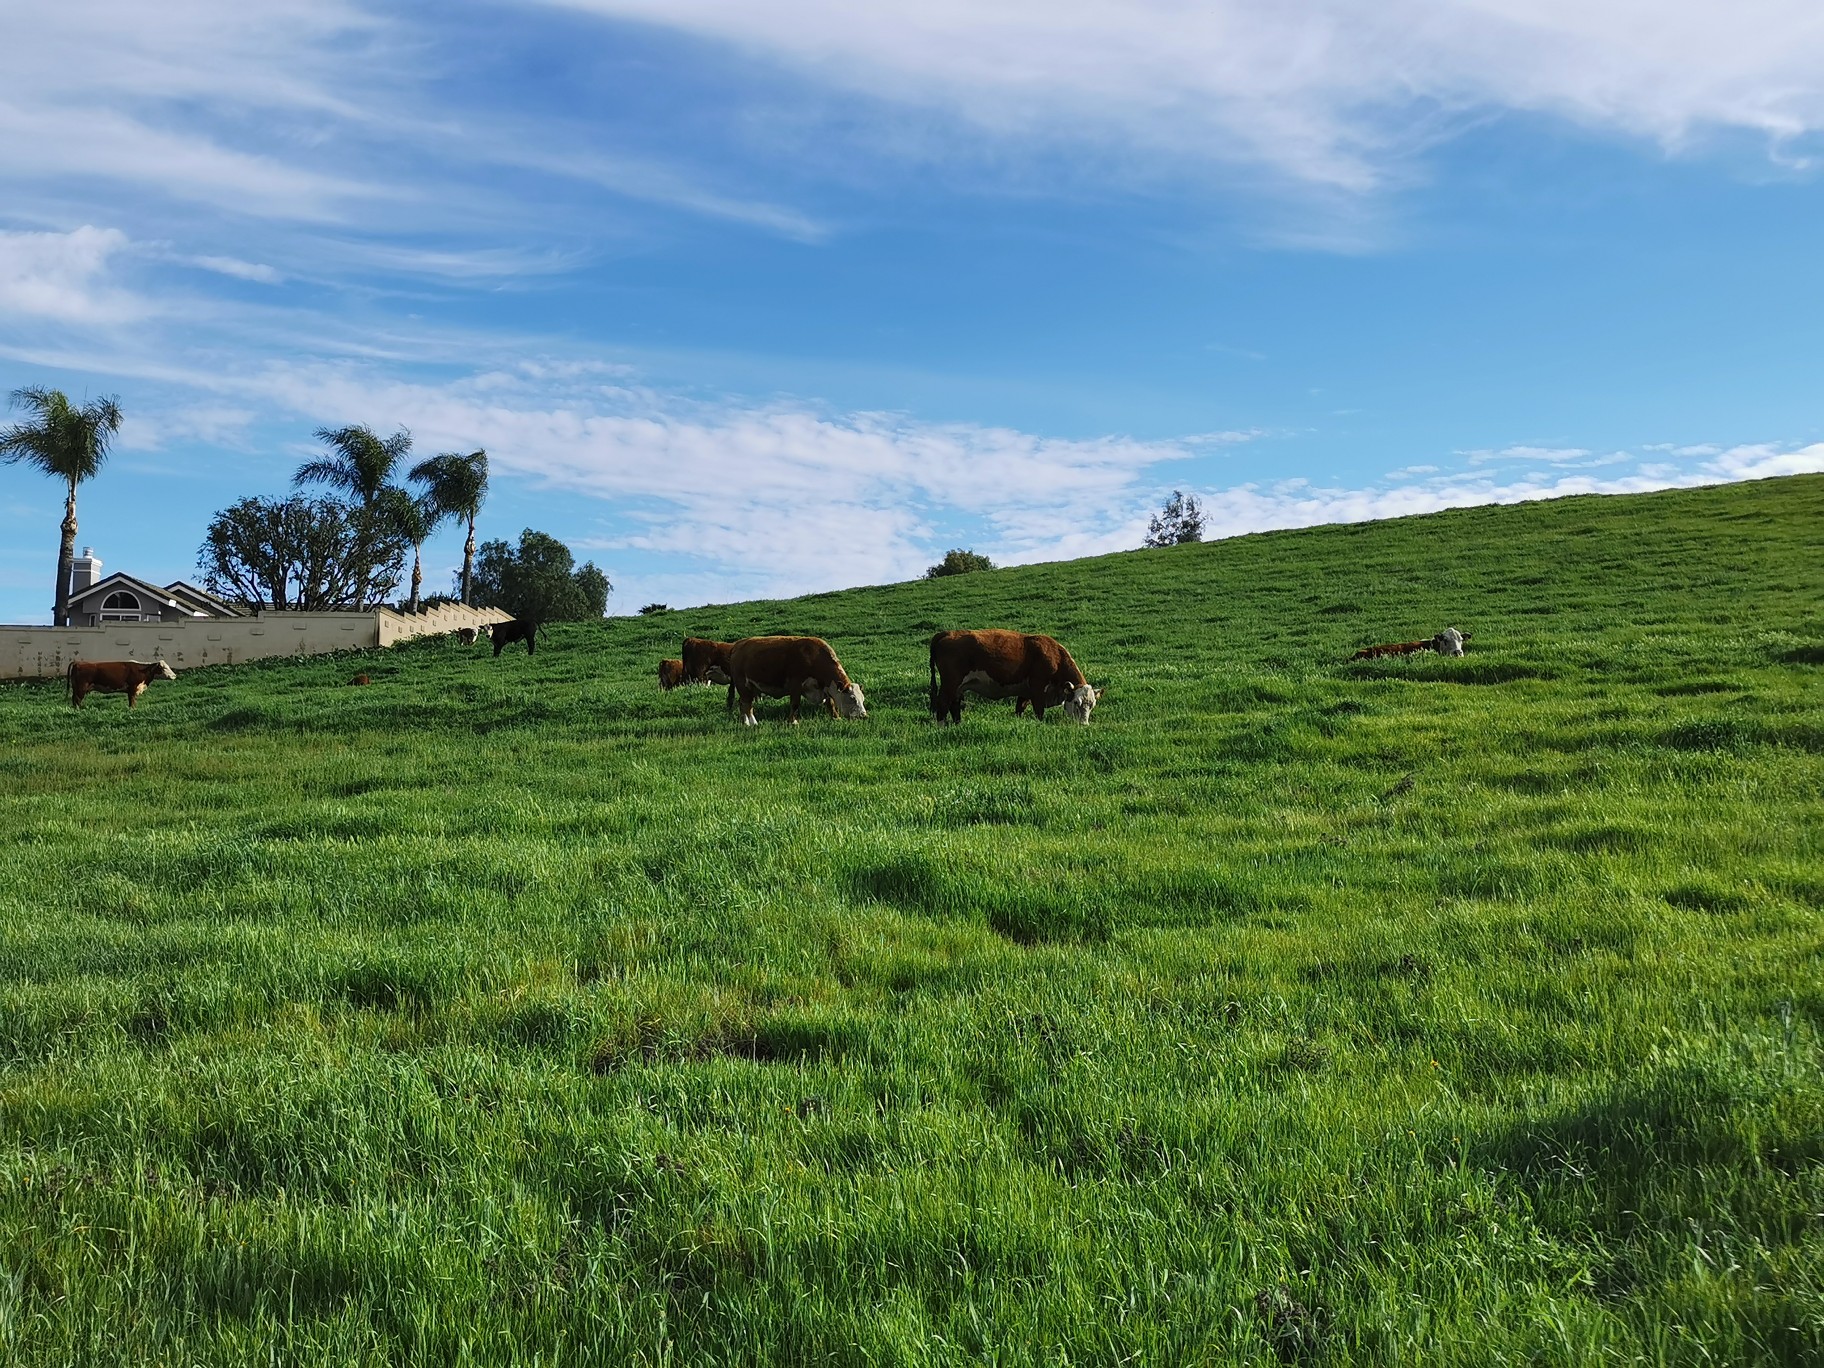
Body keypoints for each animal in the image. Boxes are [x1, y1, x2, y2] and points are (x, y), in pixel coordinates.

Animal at [725, 638, 868, 729]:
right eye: (852, 698)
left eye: (863, 699)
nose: (864, 715)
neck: (813, 656)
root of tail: (738, 644)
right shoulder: (796, 685)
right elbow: (795, 704)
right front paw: (793, 722)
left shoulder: (824, 687)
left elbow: (831, 703)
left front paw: (835, 718)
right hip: (743, 685)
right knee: (747, 705)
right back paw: (753, 723)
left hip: (750, 687)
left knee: (742, 703)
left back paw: (745, 722)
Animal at [926, 631, 1094, 729]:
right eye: (1076, 702)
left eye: (1092, 705)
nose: (1084, 724)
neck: (1054, 656)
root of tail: (948, 633)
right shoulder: (1038, 688)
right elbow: (1039, 711)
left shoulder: (1025, 692)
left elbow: (1020, 708)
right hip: (950, 683)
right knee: (943, 703)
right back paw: (941, 727)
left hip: (958, 686)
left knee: (954, 704)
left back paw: (957, 725)